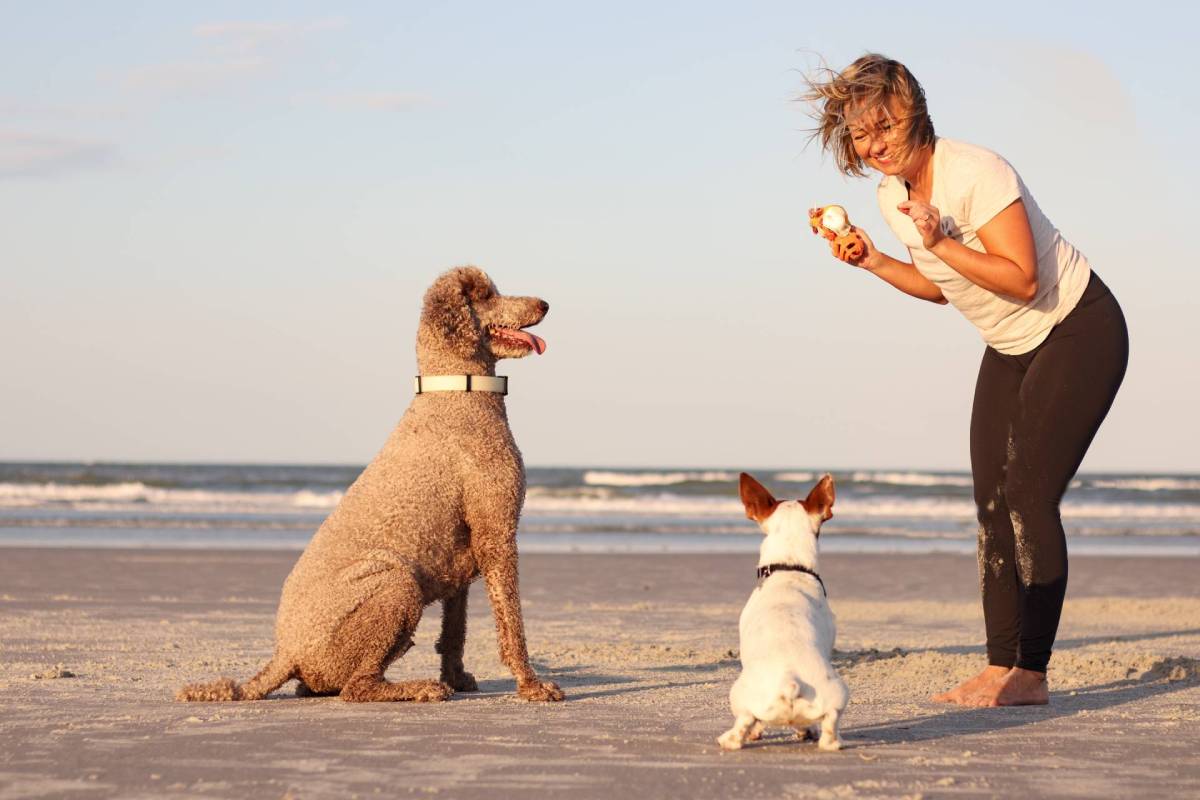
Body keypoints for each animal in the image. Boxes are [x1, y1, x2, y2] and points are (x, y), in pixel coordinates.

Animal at [715, 470, 849, 753]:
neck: (789, 567)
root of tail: (791, 681)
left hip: (738, 695)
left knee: (744, 722)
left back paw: (731, 738)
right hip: (839, 693)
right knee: (829, 726)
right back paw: (824, 737)